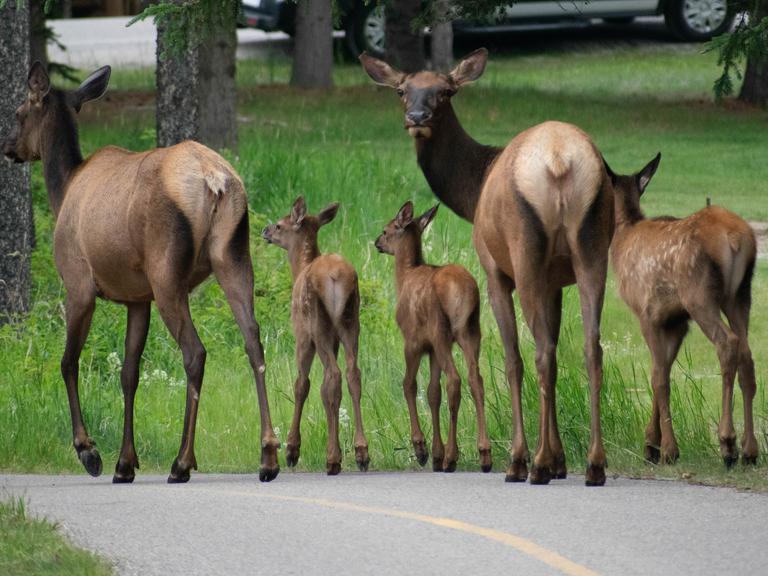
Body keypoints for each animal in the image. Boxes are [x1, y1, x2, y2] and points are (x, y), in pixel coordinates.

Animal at [1, 63, 280, 484]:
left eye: (19, 112)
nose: (8, 147)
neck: (62, 190)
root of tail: (215, 180)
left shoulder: (78, 283)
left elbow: (68, 362)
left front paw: (90, 452)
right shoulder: (137, 298)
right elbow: (129, 373)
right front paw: (125, 463)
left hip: (167, 272)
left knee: (195, 352)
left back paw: (182, 462)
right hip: (234, 255)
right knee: (253, 340)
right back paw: (268, 456)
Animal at [262, 196, 370, 474]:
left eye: (280, 225)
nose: (266, 231)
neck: (300, 267)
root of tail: (335, 277)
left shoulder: (302, 334)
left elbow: (302, 384)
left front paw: (292, 449)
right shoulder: (334, 339)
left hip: (318, 323)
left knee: (333, 375)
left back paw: (332, 458)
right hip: (350, 322)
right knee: (352, 373)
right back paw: (361, 452)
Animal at [374, 202, 492, 472]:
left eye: (386, 230)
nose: (377, 243)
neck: (404, 276)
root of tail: (466, 291)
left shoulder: (413, 340)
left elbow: (409, 385)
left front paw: (422, 448)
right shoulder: (431, 349)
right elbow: (432, 392)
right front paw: (436, 454)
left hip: (441, 331)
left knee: (455, 380)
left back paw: (452, 456)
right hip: (471, 332)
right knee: (475, 379)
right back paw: (483, 452)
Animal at [608, 154, 760, 468]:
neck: (622, 238)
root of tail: (736, 238)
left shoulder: (647, 312)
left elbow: (658, 377)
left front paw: (667, 450)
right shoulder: (677, 321)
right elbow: (661, 370)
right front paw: (650, 445)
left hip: (699, 294)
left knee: (728, 343)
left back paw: (728, 444)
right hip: (740, 295)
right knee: (747, 355)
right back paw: (751, 450)